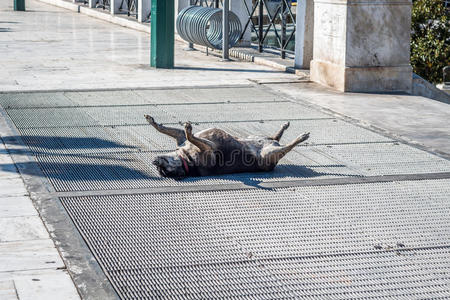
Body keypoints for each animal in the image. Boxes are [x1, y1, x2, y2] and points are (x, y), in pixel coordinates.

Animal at [144, 115, 310, 178]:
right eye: (163, 170)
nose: (154, 161)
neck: (186, 159)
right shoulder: (209, 148)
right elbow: (191, 136)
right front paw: (189, 130)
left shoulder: (181, 138)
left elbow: (164, 129)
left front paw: (152, 121)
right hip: (268, 154)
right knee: (288, 146)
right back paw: (301, 137)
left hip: (254, 138)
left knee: (275, 136)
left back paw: (284, 127)